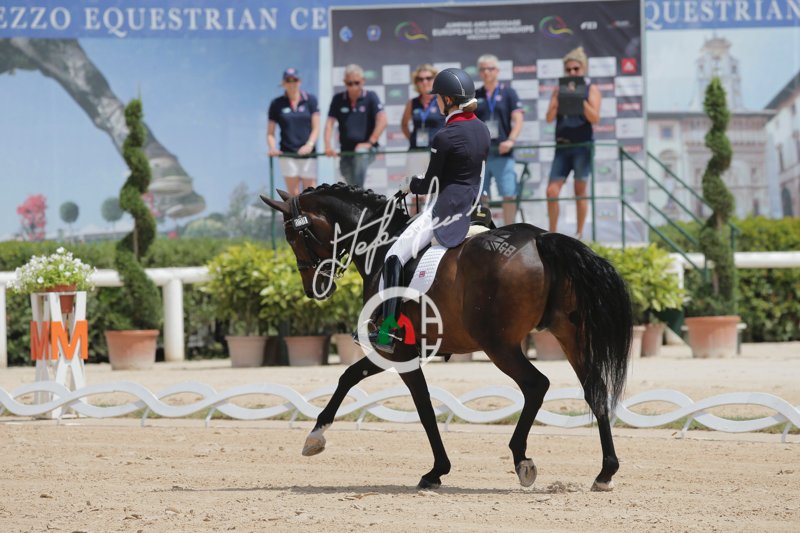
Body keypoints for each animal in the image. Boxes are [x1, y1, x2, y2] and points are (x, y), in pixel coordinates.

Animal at [261, 183, 632, 491]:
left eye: (293, 236)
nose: (315, 290)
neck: (381, 243)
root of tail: (538, 239)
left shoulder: (398, 352)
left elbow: (422, 406)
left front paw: (435, 471)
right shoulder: (402, 351)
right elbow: (351, 377)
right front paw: (316, 436)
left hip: (499, 345)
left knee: (536, 385)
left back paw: (521, 459)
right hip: (569, 334)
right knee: (594, 390)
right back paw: (605, 472)